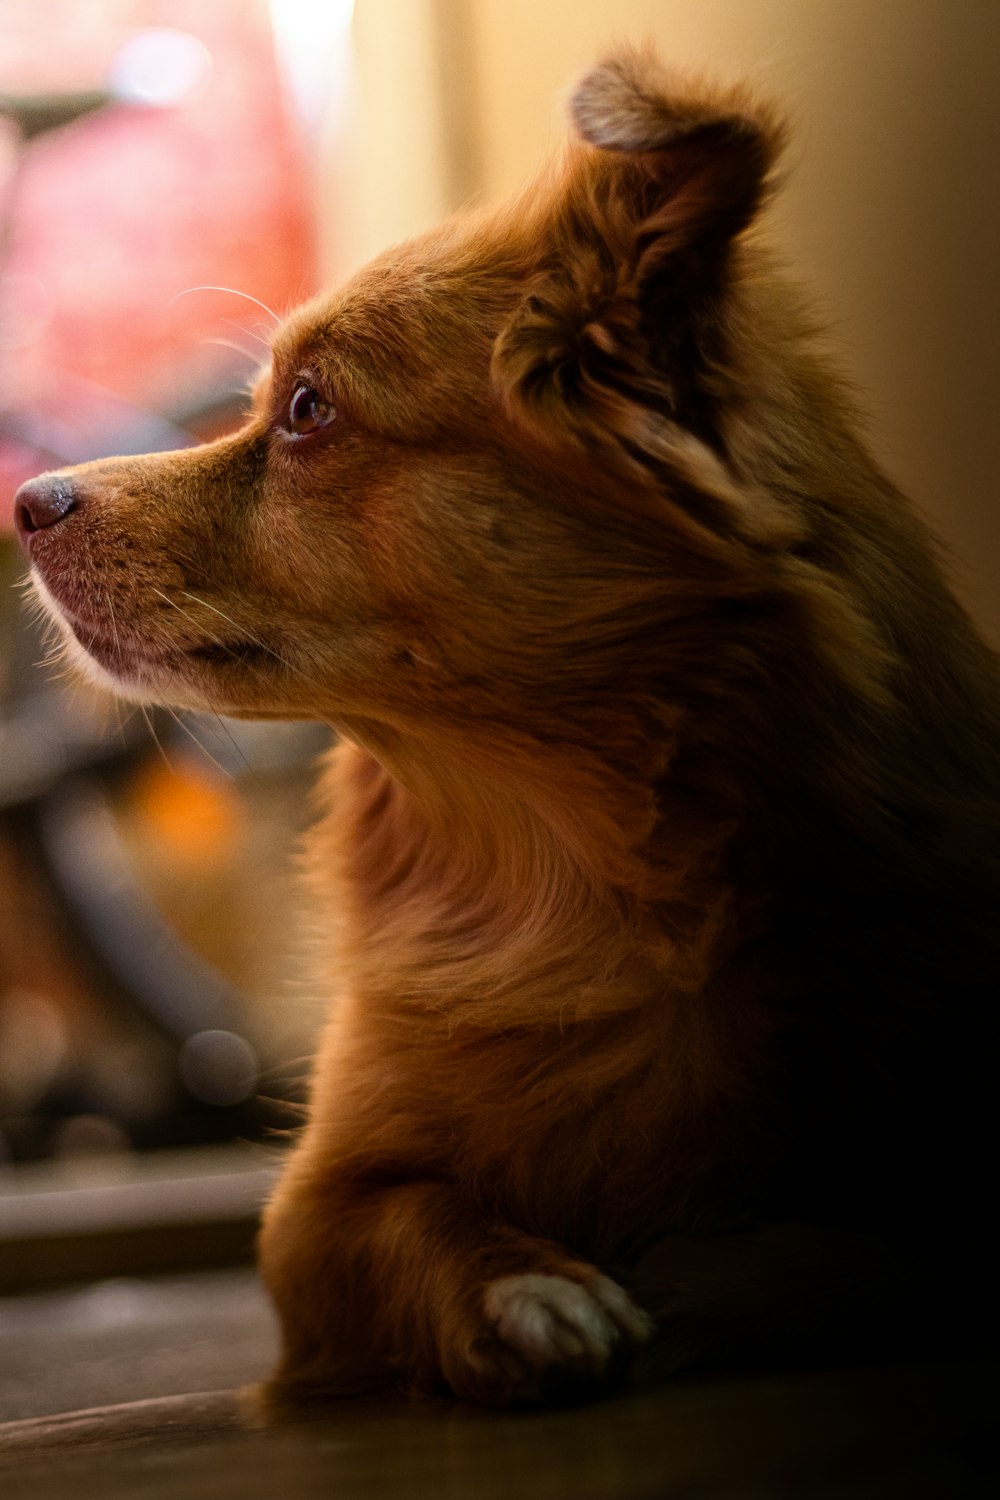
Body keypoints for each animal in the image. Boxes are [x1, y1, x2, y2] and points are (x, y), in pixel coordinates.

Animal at [15, 49, 1000, 1404]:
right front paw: (527, 1290)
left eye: (308, 410)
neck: (575, 883)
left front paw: (717, 1280)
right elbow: (405, 1223)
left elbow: (882, 1247)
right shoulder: (317, 1215)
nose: (26, 501)